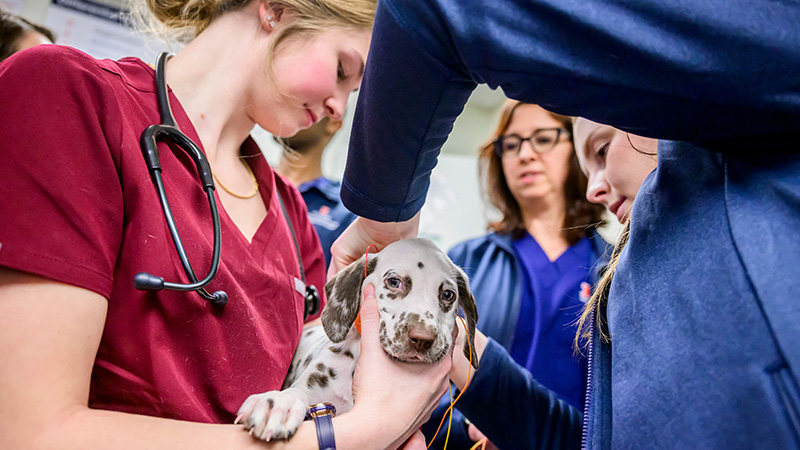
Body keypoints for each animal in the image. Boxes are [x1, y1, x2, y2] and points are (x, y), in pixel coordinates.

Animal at [234, 237, 478, 442]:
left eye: (448, 295)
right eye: (394, 282)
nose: (423, 338)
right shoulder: (313, 386)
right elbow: (297, 392)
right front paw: (278, 403)